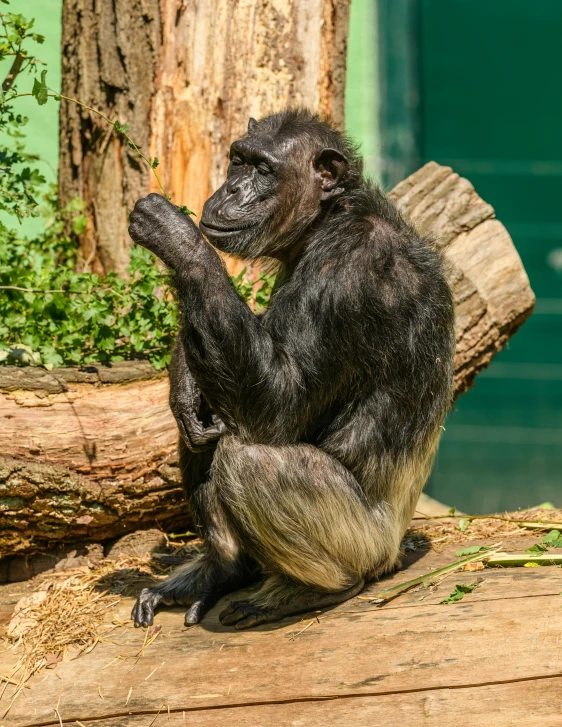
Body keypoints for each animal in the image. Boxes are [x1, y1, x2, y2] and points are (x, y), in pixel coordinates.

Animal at [128, 108, 456, 632]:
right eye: (238, 160)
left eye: (264, 170)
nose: (231, 189)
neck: (325, 222)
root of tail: (396, 547)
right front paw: (184, 384)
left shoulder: (345, 278)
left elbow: (281, 397)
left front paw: (179, 241)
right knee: (211, 425)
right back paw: (221, 571)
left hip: (362, 541)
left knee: (250, 458)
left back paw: (313, 590)